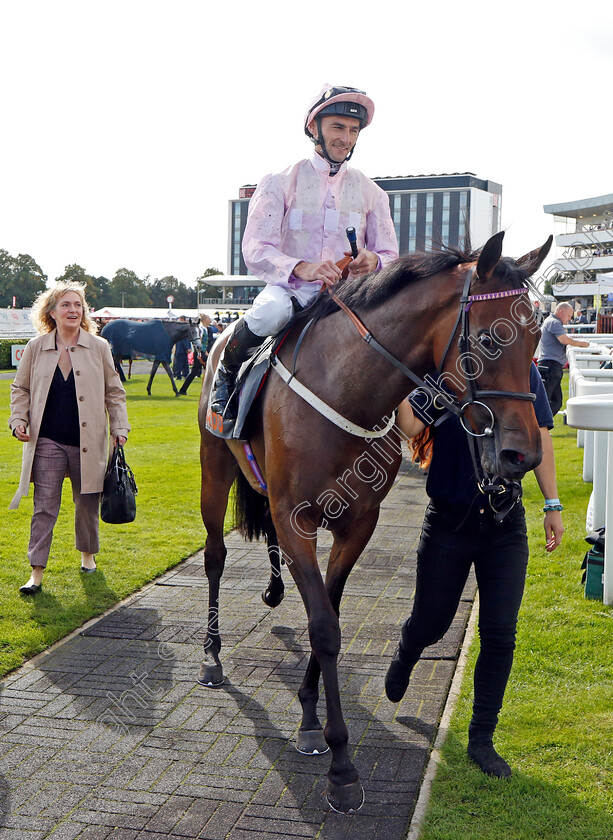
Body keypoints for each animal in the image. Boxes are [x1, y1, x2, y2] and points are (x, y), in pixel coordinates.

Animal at [198, 231, 552, 812]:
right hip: (215, 469)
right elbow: (323, 627)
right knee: (214, 556)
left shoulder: (356, 523)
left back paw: (273, 591)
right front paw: (341, 766)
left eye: (537, 335)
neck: (346, 388)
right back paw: (211, 657)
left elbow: (331, 610)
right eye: (490, 339)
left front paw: (310, 714)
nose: (523, 455)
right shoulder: (296, 520)